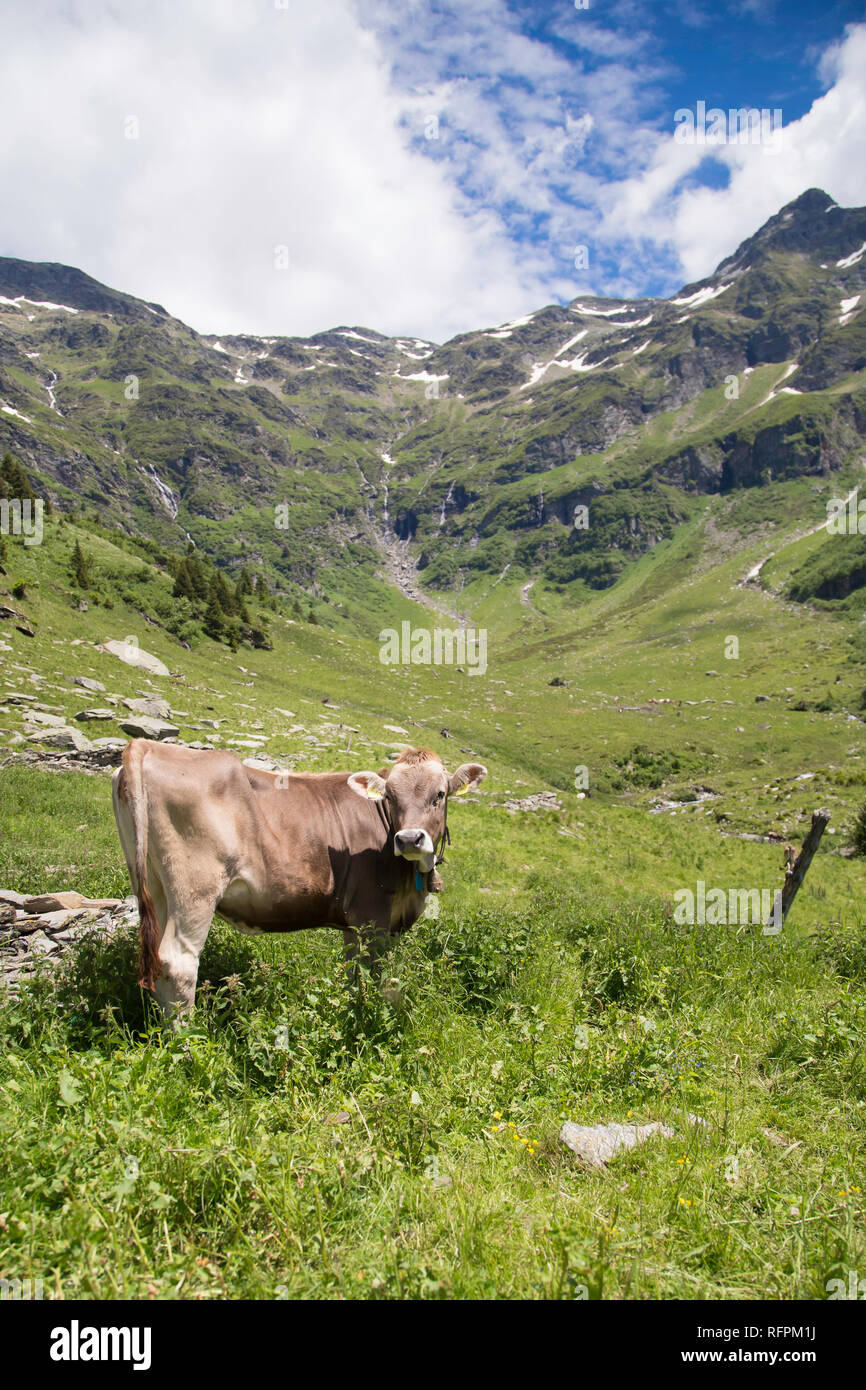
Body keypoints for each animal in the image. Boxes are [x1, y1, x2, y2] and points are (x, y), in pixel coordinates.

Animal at [111, 739, 483, 1023]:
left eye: (440, 794)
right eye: (390, 796)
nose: (408, 839)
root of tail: (147, 745)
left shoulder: (355, 923)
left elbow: (353, 975)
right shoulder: (372, 917)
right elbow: (374, 976)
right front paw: (370, 1018)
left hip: (154, 884)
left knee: (158, 960)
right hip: (195, 887)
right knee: (178, 963)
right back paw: (186, 1040)